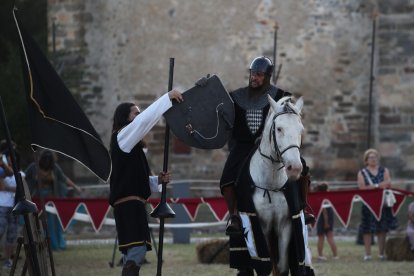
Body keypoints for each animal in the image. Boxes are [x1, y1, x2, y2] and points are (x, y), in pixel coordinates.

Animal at [251, 96, 306, 274]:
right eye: (279, 129)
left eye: (301, 130)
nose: (294, 168)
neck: (271, 184)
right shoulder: (262, 227)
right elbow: (268, 267)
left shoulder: (284, 225)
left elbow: (281, 267)